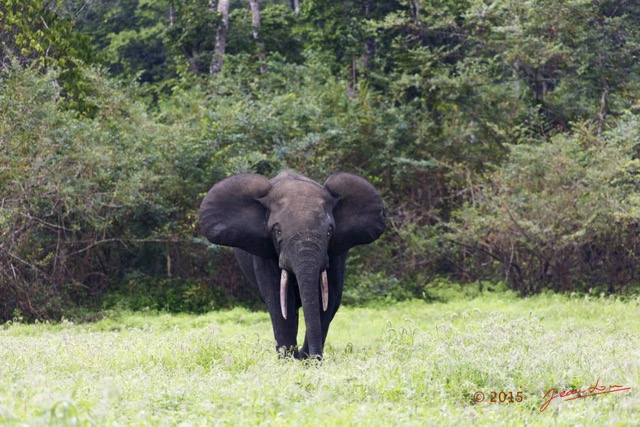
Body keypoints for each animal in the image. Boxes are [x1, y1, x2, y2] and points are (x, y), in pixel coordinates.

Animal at [198, 172, 384, 360]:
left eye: (329, 232)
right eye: (277, 232)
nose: (310, 356)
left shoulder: (335, 253)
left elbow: (327, 299)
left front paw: (308, 360)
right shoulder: (265, 252)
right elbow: (278, 299)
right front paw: (288, 360)